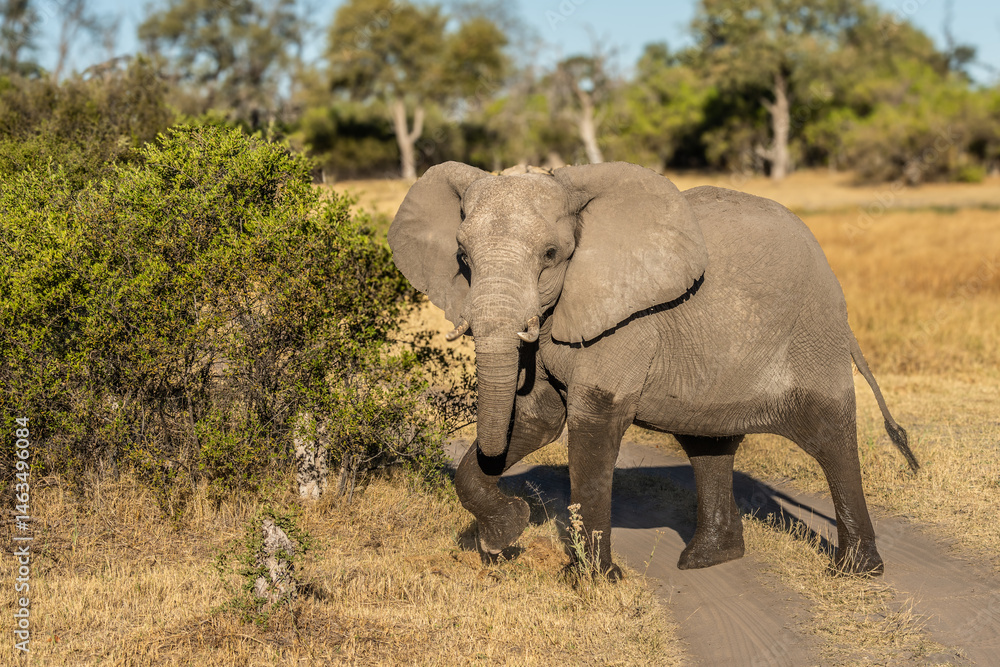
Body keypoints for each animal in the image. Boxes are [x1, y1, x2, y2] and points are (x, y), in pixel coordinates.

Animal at [388, 161, 919, 578]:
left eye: (550, 255)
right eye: (462, 258)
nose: (518, 512)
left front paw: (594, 580)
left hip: (812, 330)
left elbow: (594, 420)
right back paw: (707, 559)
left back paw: (856, 571)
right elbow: (537, 417)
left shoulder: (630, 320)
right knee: (708, 446)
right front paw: (505, 533)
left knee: (829, 436)